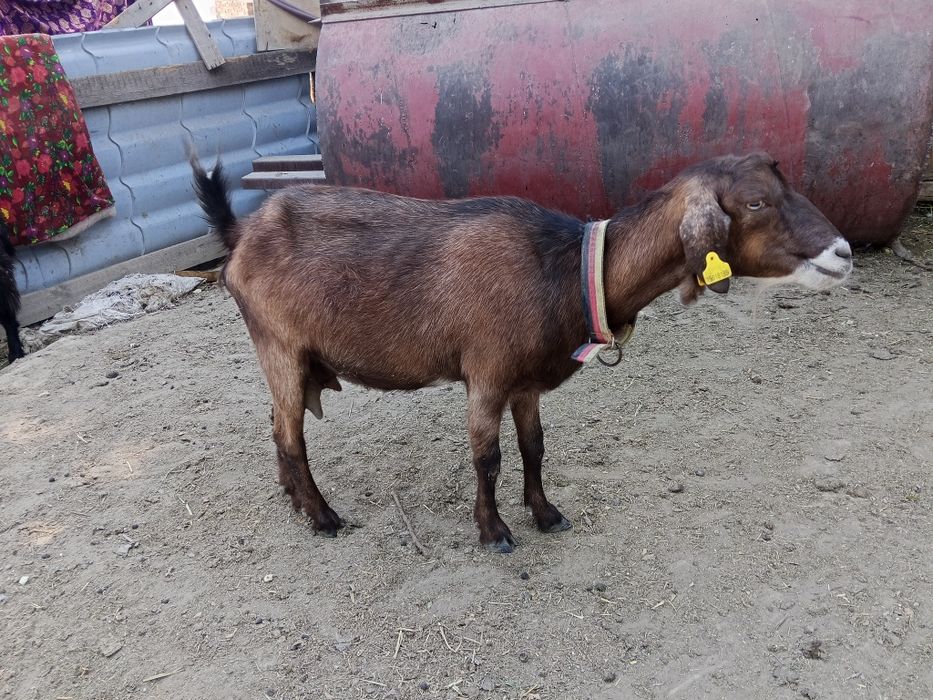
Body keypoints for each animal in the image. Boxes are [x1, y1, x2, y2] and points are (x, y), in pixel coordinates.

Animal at [190, 152, 852, 553]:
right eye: (756, 202)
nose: (843, 253)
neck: (564, 271)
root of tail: (241, 233)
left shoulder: (527, 382)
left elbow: (534, 447)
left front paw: (546, 513)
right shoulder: (484, 374)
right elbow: (489, 458)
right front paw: (495, 531)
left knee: (277, 425)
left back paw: (294, 500)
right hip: (278, 343)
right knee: (289, 433)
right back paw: (322, 516)